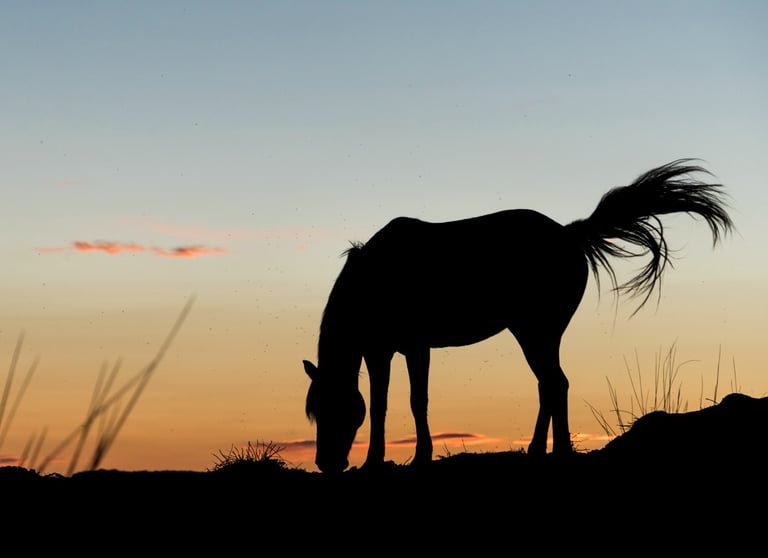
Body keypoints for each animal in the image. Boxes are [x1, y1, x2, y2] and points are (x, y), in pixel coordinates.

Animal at [303, 159, 733, 473]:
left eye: (340, 410)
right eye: (315, 411)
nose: (326, 464)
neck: (374, 278)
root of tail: (569, 234)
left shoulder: (415, 346)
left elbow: (416, 400)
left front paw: (419, 457)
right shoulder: (378, 351)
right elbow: (380, 404)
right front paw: (373, 461)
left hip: (534, 330)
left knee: (554, 383)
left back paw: (554, 452)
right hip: (538, 333)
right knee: (550, 385)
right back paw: (541, 450)